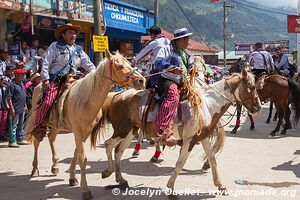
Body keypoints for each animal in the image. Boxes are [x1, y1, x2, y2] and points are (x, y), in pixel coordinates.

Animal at [23, 50, 145, 200]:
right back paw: (35, 169)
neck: (86, 101)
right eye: (120, 66)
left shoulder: (85, 133)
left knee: (51, 138)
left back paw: (55, 166)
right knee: (37, 141)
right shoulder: (77, 132)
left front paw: (72, 178)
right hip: (38, 121)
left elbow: (77, 154)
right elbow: (82, 158)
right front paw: (85, 190)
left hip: (56, 125)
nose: (141, 80)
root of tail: (38, 85)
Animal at [91, 67, 260, 192]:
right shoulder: (189, 141)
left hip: (130, 131)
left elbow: (212, 159)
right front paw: (170, 187)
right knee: (108, 144)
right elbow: (180, 163)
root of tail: (116, 95)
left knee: (118, 151)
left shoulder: (203, 138)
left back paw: (121, 180)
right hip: (121, 130)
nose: (258, 107)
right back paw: (108, 172)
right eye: (251, 87)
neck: (206, 105)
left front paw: (220, 185)